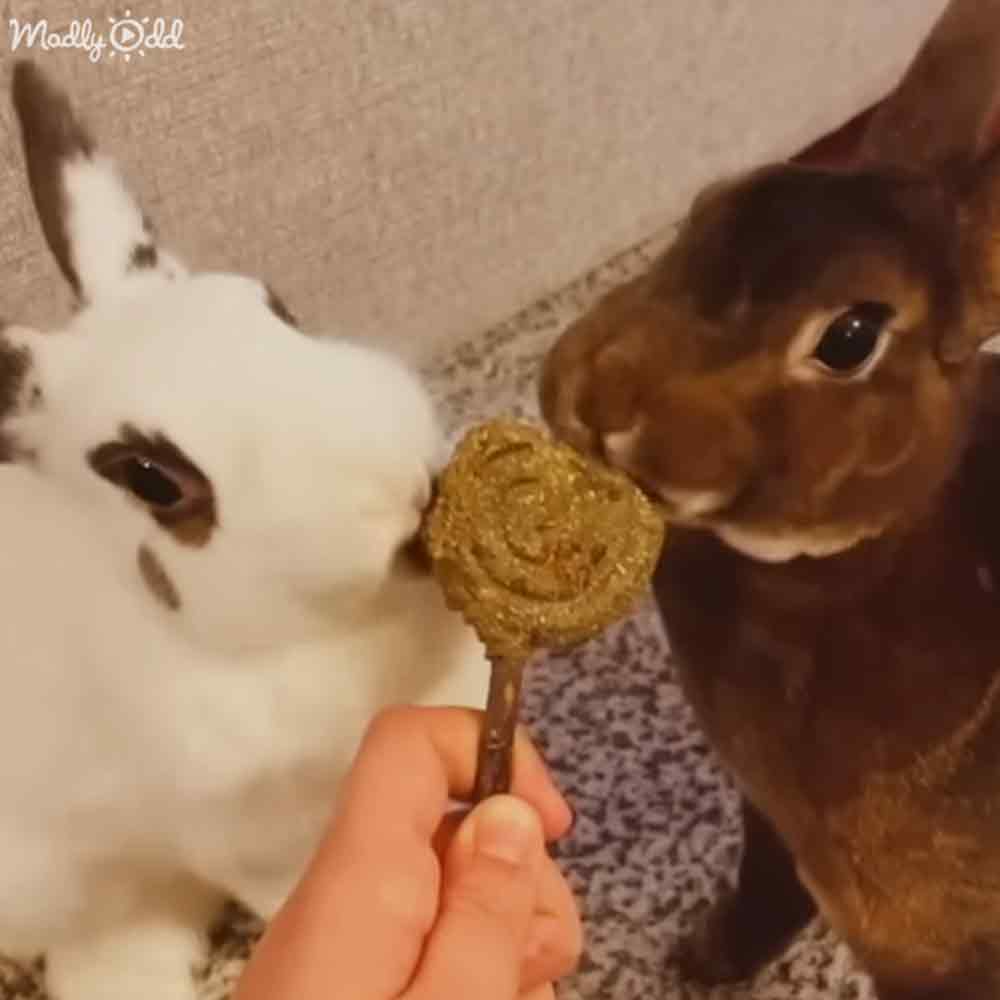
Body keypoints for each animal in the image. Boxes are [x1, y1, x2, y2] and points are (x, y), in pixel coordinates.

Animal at [540, 1, 1000, 997]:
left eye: (852, 336)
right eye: (707, 206)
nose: (601, 401)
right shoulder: (770, 817)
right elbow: (764, 878)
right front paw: (704, 961)